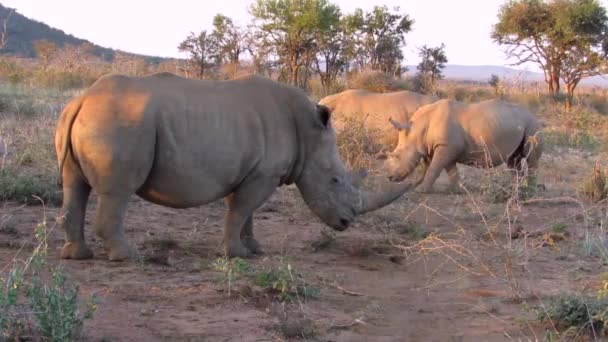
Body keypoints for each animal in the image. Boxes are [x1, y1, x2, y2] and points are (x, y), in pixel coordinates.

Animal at [55, 71, 414, 260]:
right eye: (336, 180)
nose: (346, 222)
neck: (309, 133)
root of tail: (81, 100)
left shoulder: (250, 171)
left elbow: (245, 213)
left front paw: (254, 248)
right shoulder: (263, 175)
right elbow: (241, 210)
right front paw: (236, 254)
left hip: (96, 119)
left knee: (75, 185)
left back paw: (78, 255)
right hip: (120, 124)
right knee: (118, 192)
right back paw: (131, 257)